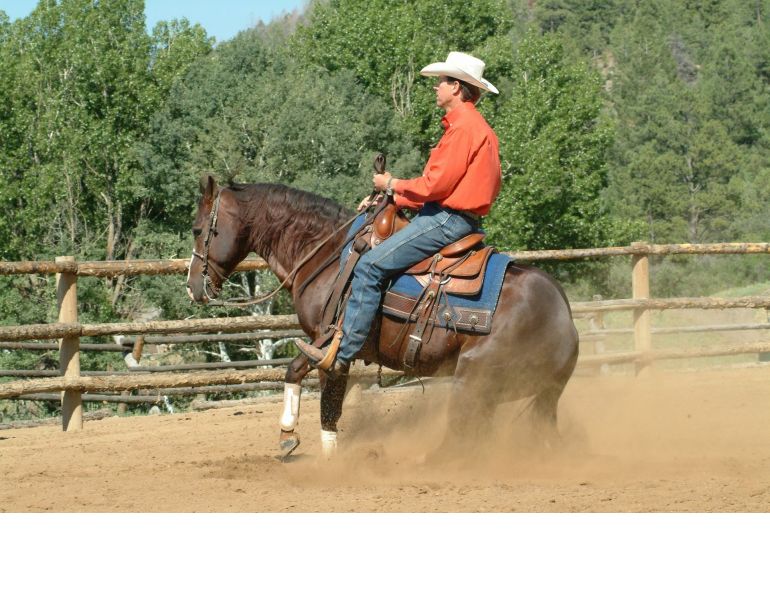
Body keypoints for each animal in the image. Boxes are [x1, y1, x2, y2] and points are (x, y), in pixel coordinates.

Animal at [186, 174, 579, 460]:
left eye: (197, 229)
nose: (192, 287)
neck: (329, 253)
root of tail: (564, 318)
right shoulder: (328, 345)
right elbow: (313, 388)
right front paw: (307, 443)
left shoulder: (331, 345)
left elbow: (317, 391)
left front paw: (307, 446)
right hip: (532, 396)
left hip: (473, 381)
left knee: (462, 436)